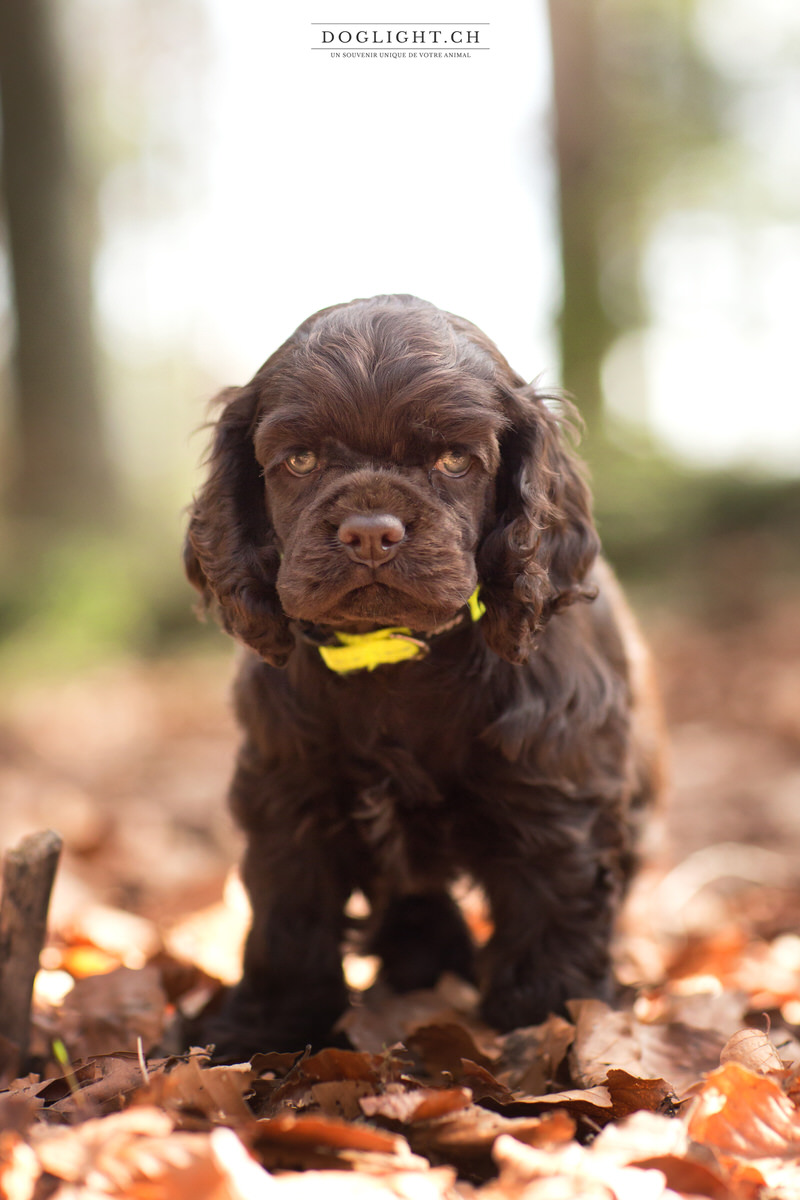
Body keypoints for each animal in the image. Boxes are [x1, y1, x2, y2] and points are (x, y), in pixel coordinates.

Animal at [185, 295, 662, 1056]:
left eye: (453, 459)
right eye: (300, 459)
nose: (371, 533)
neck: (396, 662)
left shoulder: (555, 794)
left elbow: (555, 909)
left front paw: (551, 1026)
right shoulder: (290, 793)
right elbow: (288, 919)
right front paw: (263, 1032)